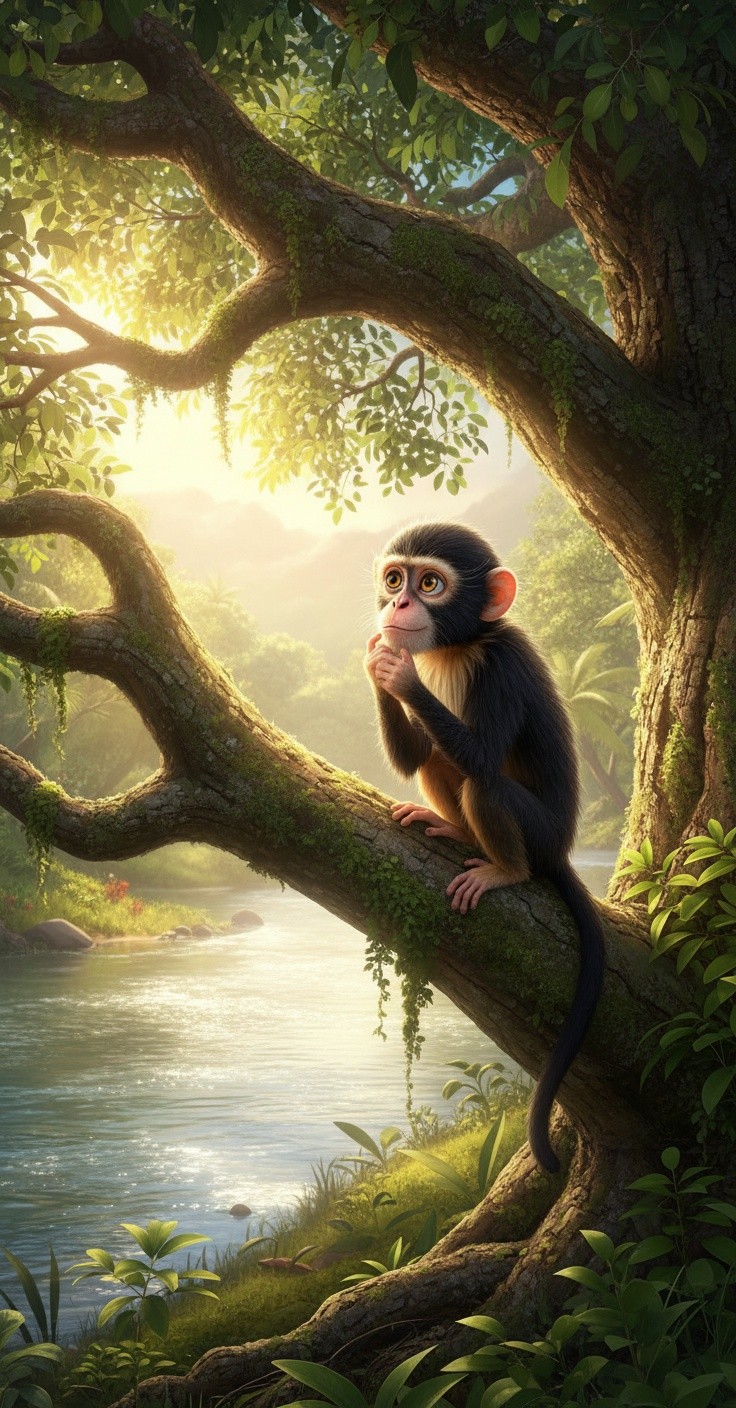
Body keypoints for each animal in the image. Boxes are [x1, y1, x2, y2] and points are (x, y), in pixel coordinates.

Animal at [364, 521, 605, 1174]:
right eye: (394, 578)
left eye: (429, 584)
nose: (397, 605)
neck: (461, 645)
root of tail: (560, 849)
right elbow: (416, 758)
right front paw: (377, 660)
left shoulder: (502, 666)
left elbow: (479, 755)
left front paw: (399, 675)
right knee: (440, 762)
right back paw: (453, 828)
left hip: (538, 833)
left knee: (482, 780)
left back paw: (506, 869)